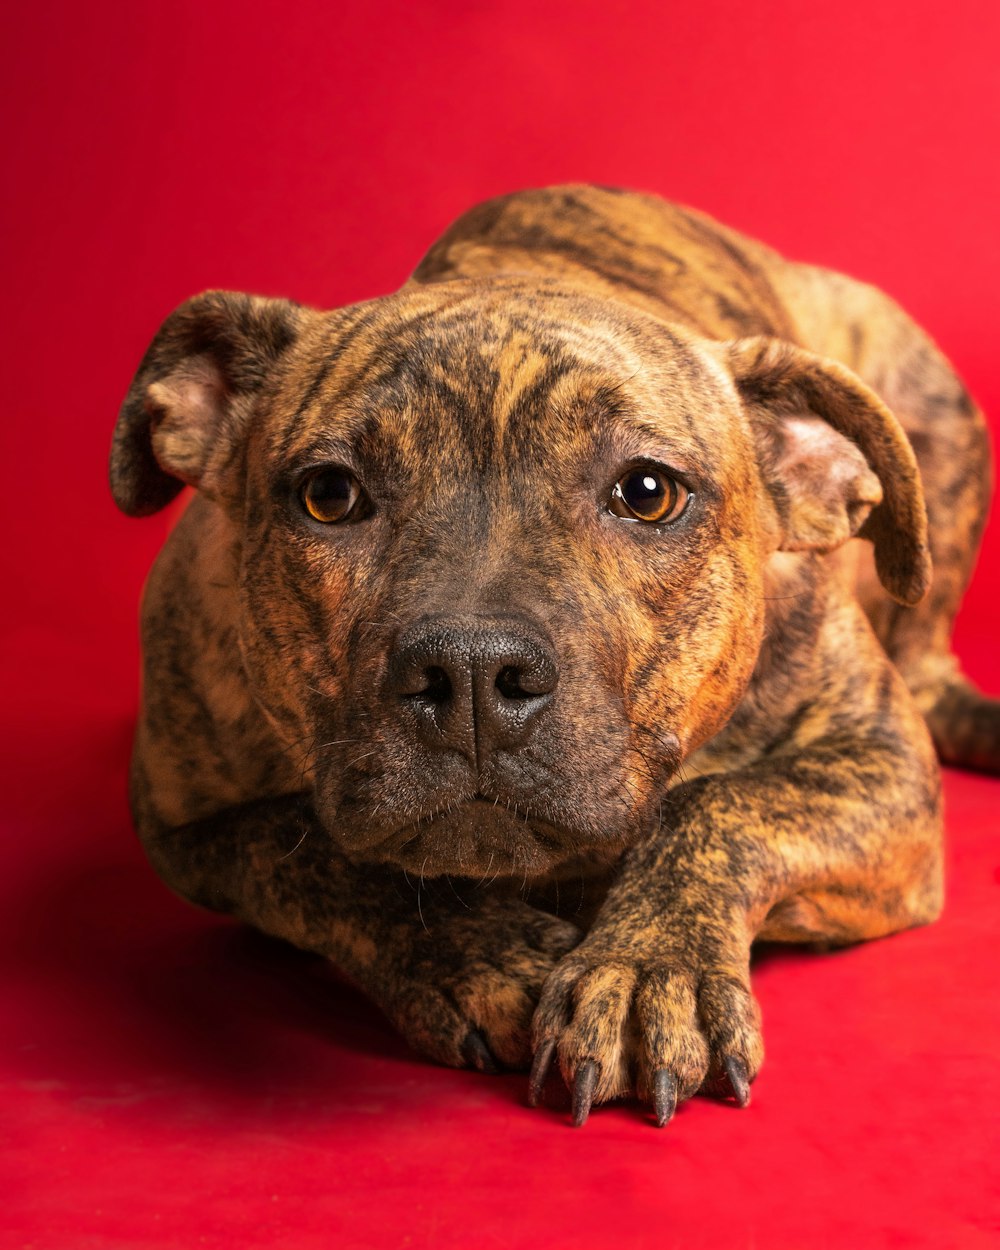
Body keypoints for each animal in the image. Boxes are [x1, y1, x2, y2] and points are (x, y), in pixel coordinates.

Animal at [109, 182, 990, 1125]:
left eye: (648, 492)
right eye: (329, 495)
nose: (469, 670)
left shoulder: (883, 761)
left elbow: (720, 805)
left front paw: (648, 970)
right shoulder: (182, 823)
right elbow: (303, 849)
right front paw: (479, 952)